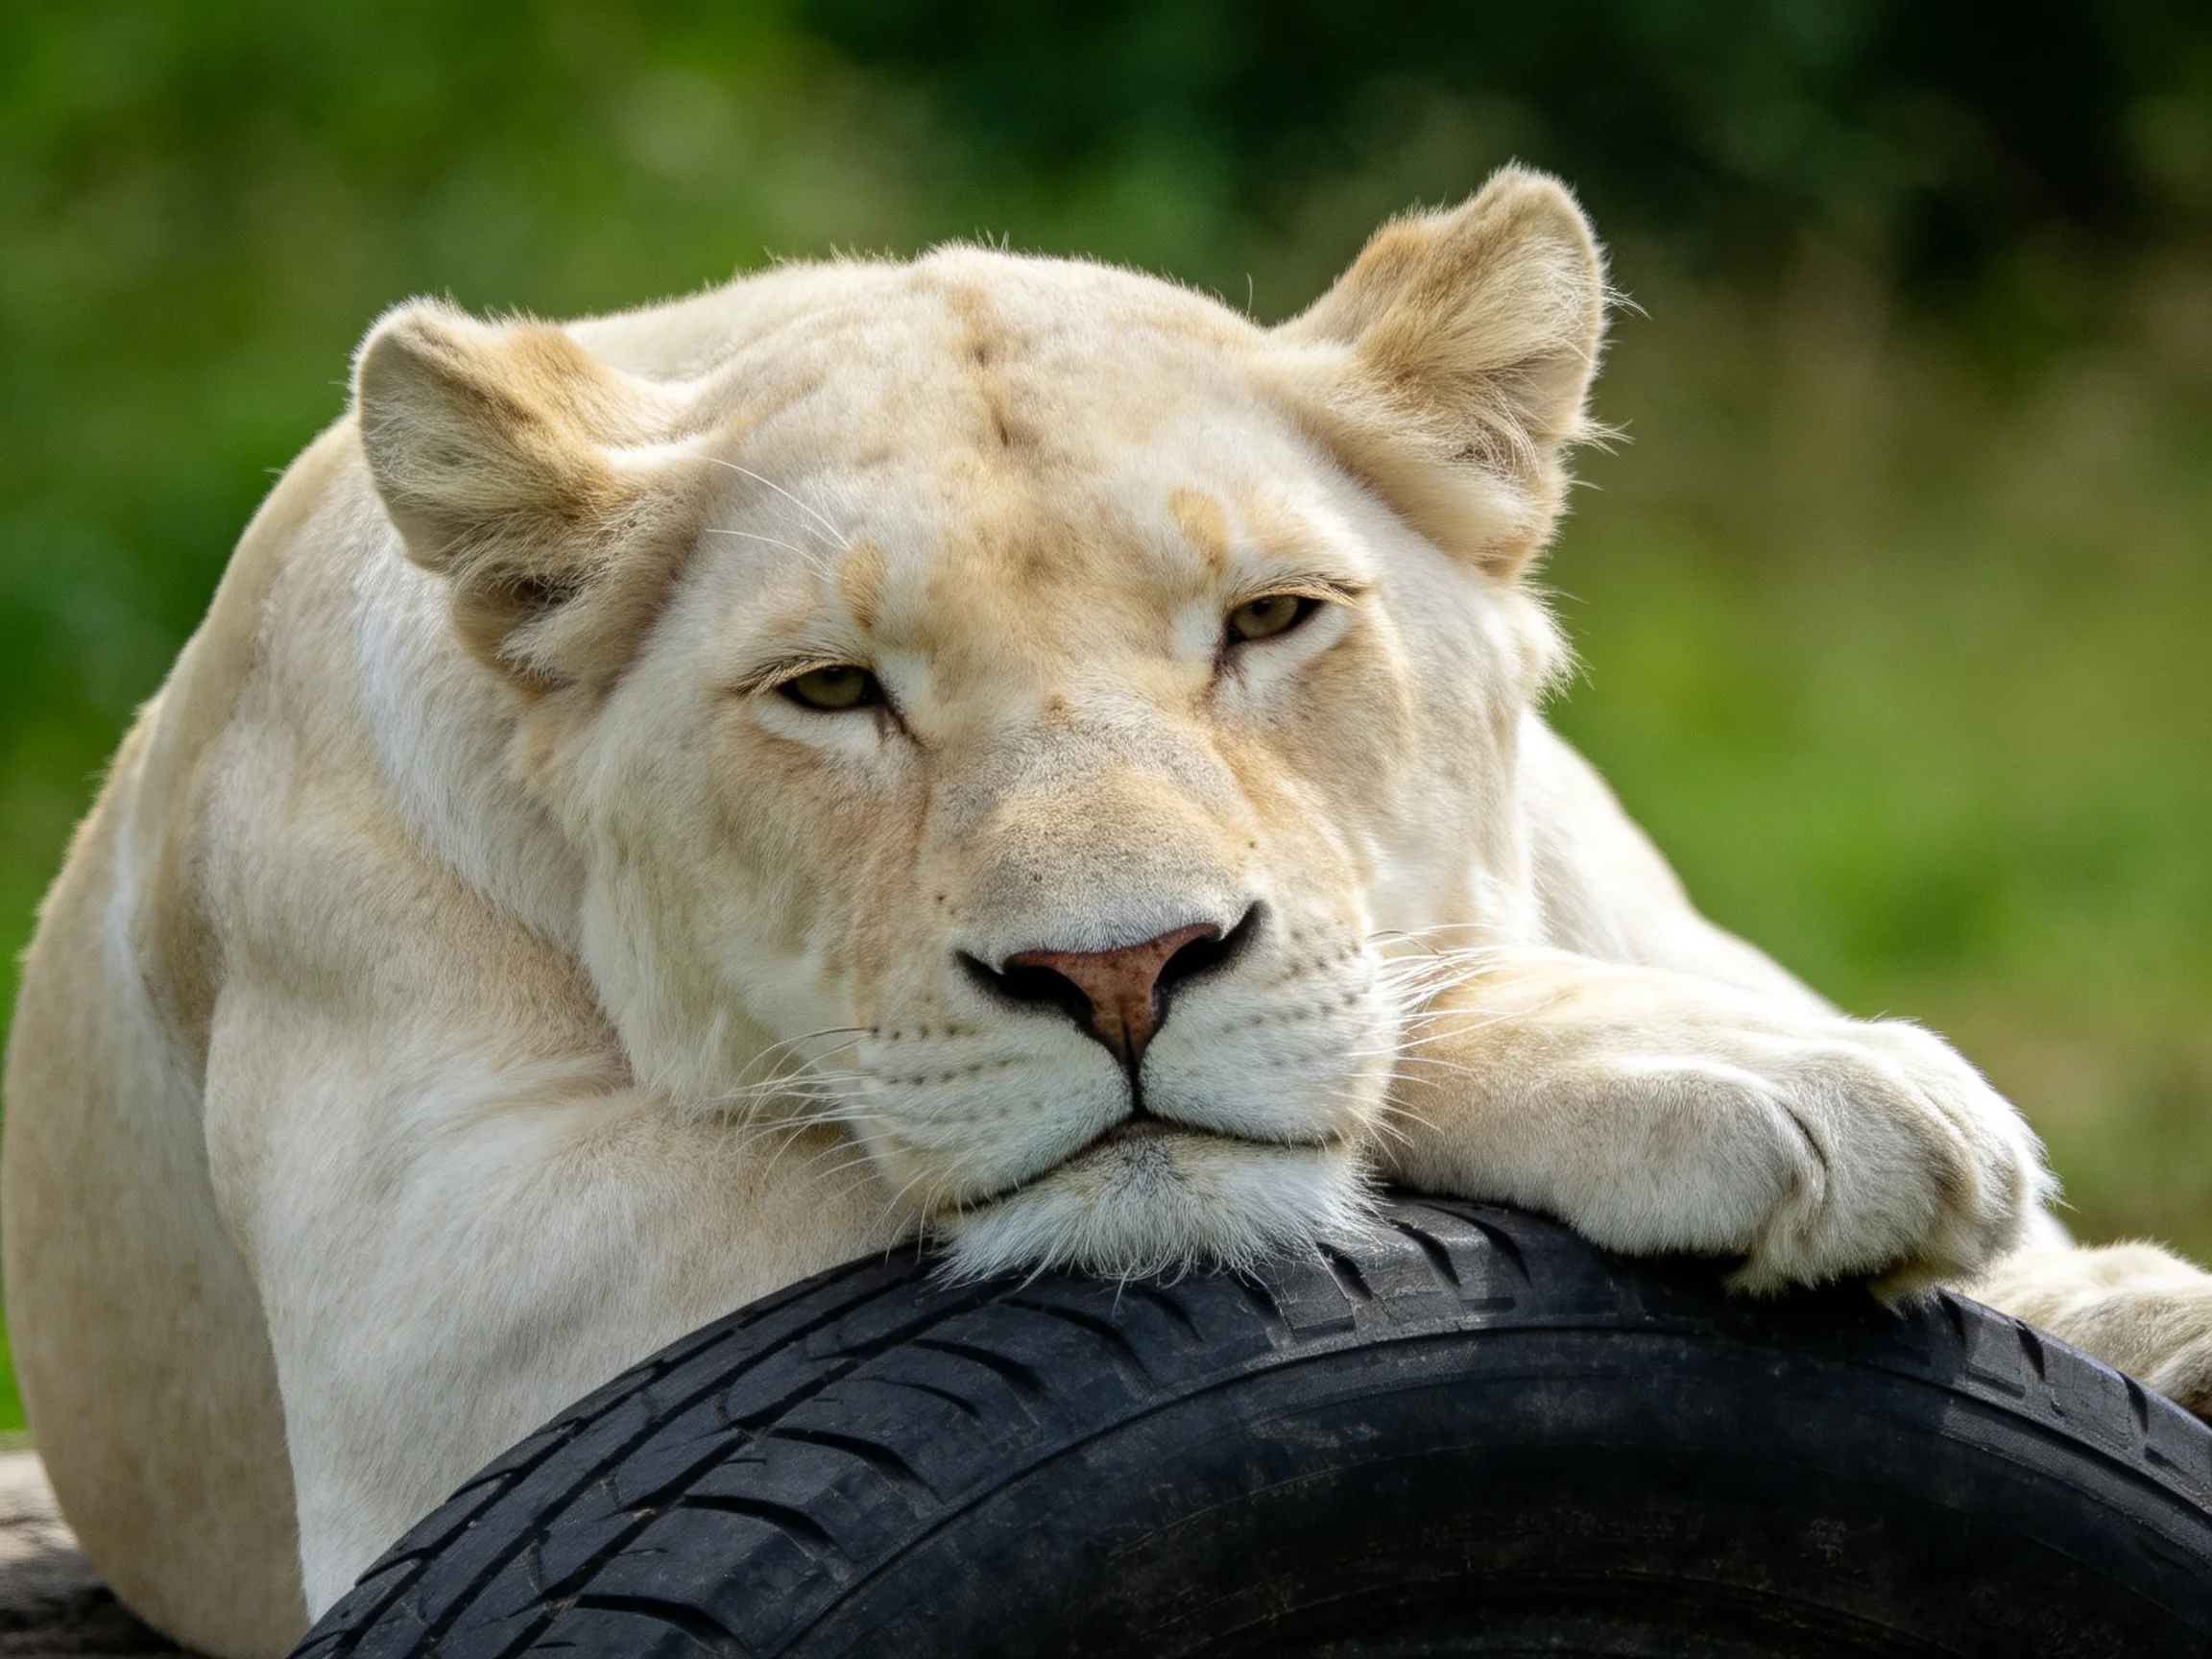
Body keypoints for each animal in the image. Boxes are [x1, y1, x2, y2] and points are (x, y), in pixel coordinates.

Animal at [6, 167, 2210, 1658]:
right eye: (832, 690)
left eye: (1268, 620)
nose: (1118, 970)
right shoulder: (439, 1311)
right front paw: (1770, 1092)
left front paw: (2088, 1292)